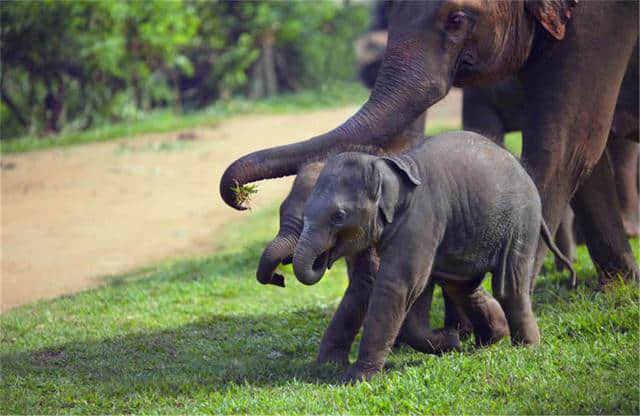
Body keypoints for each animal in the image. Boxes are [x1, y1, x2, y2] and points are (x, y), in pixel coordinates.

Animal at [221, 0, 640, 282]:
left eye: (456, 19)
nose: (241, 198)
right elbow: (584, 150)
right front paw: (619, 287)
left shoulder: (597, 23)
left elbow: (567, 141)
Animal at [294, 131, 576, 384]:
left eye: (338, 216)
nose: (322, 260)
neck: (391, 165)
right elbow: (416, 290)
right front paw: (451, 342)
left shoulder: (420, 219)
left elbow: (399, 286)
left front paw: (356, 379)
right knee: (462, 286)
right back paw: (491, 338)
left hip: (520, 222)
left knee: (508, 286)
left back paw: (526, 348)